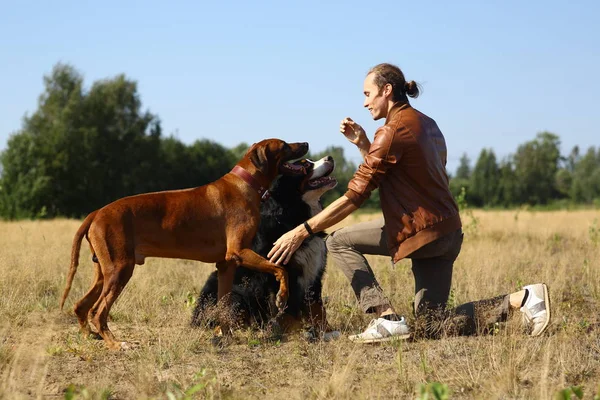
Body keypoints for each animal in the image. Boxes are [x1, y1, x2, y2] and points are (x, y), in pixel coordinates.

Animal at [59, 138, 310, 350]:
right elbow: (279, 269)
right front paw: (282, 296)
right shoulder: (240, 252)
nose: (306, 143)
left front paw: (226, 336)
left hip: (104, 271)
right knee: (97, 311)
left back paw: (90, 336)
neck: (246, 184)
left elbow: (223, 303)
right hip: (120, 269)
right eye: (285, 145)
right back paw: (115, 343)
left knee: (80, 305)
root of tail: (97, 212)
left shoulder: (226, 265)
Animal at [193, 155, 340, 340]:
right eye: (306, 165)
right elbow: (285, 309)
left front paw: (327, 331)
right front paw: (291, 331)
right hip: (234, 295)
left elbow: (318, 308)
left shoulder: (314, 274)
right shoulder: (281, 272)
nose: (330, 157)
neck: (294, 215)